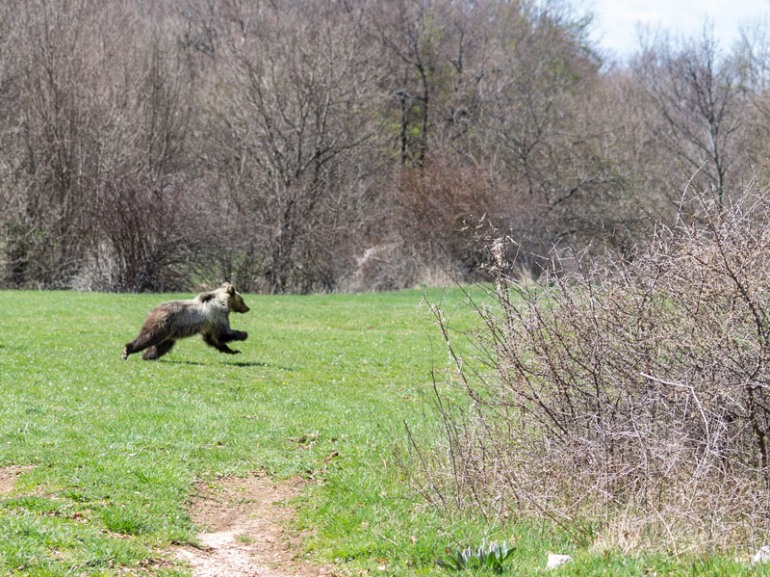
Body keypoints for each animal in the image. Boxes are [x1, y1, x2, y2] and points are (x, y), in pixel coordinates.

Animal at [121, 280, 249, 358]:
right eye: (242, 300)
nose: (248, 308)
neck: (223, 303)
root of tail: (152, 311)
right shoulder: (217, 316)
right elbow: (223, 334)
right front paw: (243, 334)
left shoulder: (208, 325)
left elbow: (213, 339)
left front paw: (233, 350)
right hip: (162, 325)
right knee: (148, 337)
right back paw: (127, 350)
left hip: (169, 333)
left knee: (161, 345)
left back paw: (148, 356)